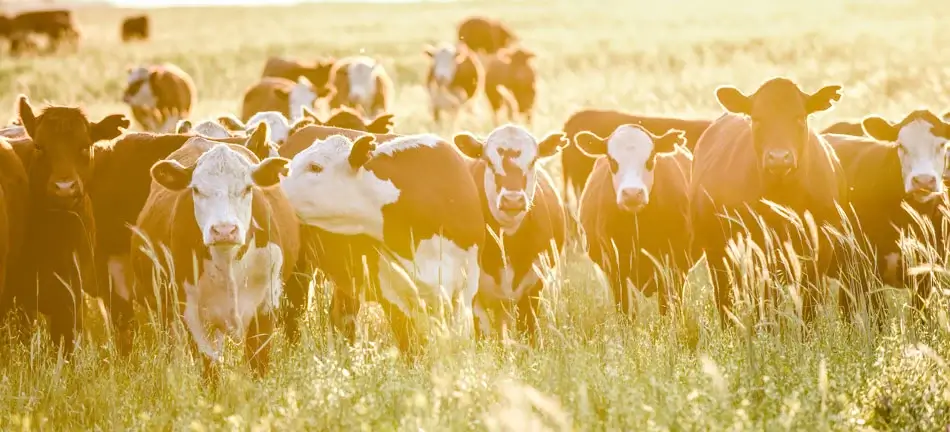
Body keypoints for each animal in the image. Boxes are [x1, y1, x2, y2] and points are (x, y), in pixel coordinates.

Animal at [129, 124, 298, 377]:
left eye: (247, 188)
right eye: (197, 190)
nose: (224, 230)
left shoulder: (266, 306)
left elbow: (258, 363)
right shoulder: (193, 316)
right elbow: (210, 369)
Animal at [451, 125, 567, 342]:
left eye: (533, 160)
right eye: (488, 161)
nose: (512, 200)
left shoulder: (533, 288)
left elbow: (528, 331)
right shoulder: (474, 292)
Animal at [573, 125, 693, 319]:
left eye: (650, 159)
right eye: (612, 161)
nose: (631, 193)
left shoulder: (674, 263)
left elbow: (667, 307)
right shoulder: (615, 269)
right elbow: (625, 311)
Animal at [689, 77, 848, 327]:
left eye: (799, 117)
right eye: (757, 119)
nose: (779, 158)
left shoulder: (819, 253)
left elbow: (808, 311)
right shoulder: (757, 255)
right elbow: (765, 307)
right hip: (718, 257)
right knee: (726, 300)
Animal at [826, 111, 950, 323]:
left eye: (942, 145)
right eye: (901, 146)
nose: (923, 180)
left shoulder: (928, 273)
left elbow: (919, 318)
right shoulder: (869, 271)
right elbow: (881, 318)